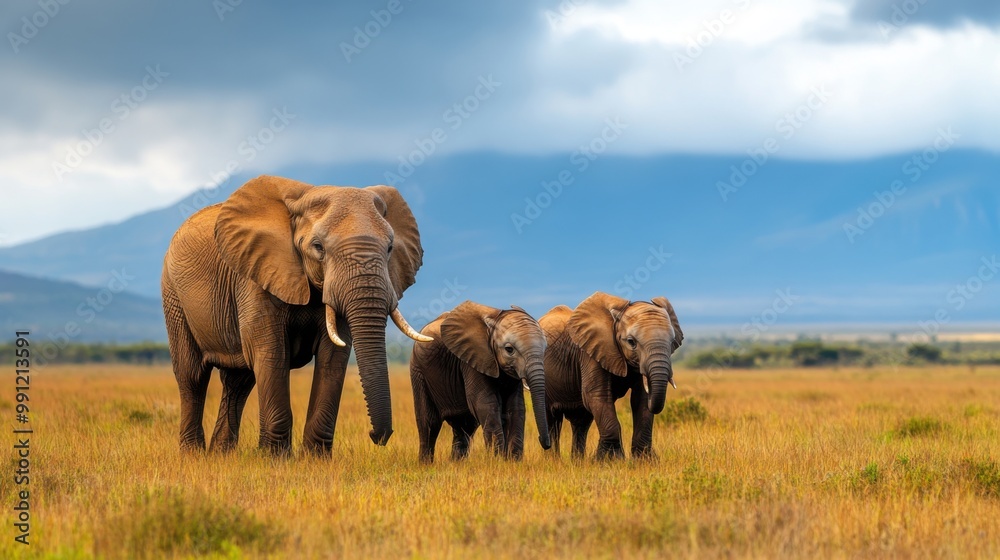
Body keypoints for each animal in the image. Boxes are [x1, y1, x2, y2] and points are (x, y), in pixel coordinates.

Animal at [161, 175, 430, 455]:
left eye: (389, 248)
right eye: (318, 247)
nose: (377, 436)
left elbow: (332, 357)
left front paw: (315, 458)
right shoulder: (257, 275)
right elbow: (271, 353)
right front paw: (274, 458)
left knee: (239, 381)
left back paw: (221, 454)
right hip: (173, 294)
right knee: (193, 376)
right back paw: (193, 454)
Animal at [409, 301, 551, 463]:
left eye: (545, 349)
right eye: (509, 349)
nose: (545, 443)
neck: (495, 320)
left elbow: (516, 406)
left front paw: (513, 462)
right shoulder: (472, 359)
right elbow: (486, 403)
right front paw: (498, 460)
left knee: (464, 426)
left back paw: (457, 464)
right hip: (418, 370)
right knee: (429, 422)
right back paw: (425, 464)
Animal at [541, 292, 683, 460]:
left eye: (672, 342)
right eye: (631, 342)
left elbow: (640, 399)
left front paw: (645, 460)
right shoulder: (591, 353)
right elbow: (596, 395)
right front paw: (610, 460)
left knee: (581, 422)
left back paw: (577, 461)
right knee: (552, 420)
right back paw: (553, 461)